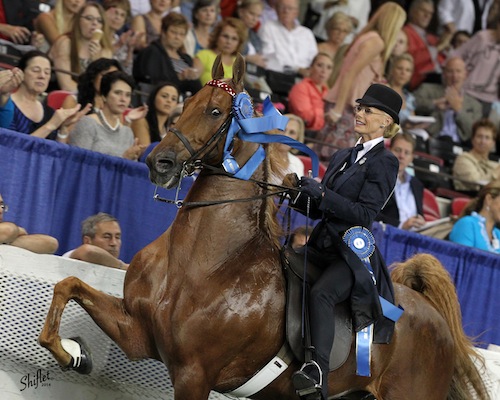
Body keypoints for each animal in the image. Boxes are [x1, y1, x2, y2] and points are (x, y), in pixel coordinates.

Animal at [40, 56, 488, 400]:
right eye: (185, 101)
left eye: (216, 111)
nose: (159, 163)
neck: (203, 263)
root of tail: (430, 312)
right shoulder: (137, 331)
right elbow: (68, 286)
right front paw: (74, 355)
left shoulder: (194, 374)